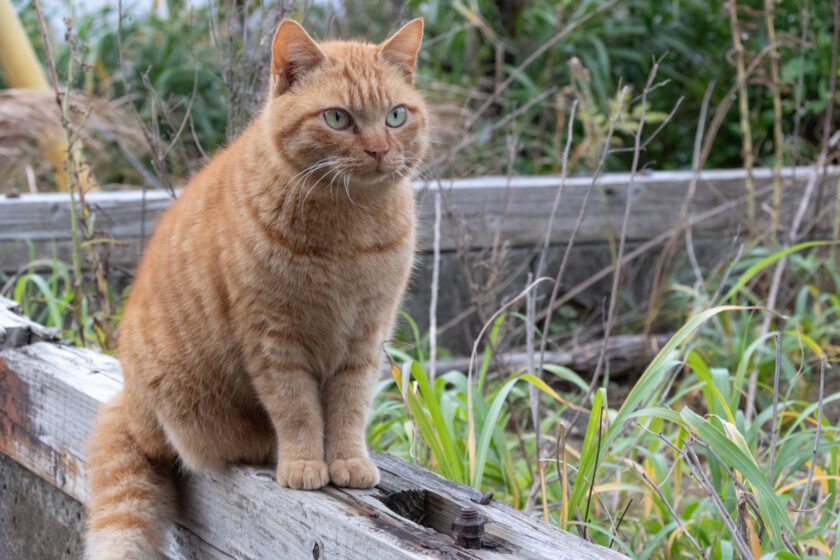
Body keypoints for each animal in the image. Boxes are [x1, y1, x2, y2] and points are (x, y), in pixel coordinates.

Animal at [84, 18, 426, 560]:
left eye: (395, 116)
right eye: (337, 118)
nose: (379, 150)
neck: (348, 227)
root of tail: (128, 403)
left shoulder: (365, 337)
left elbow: (349, 408)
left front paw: (348, 460)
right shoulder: (274, 340)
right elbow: (299, 410)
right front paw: (305, 464)